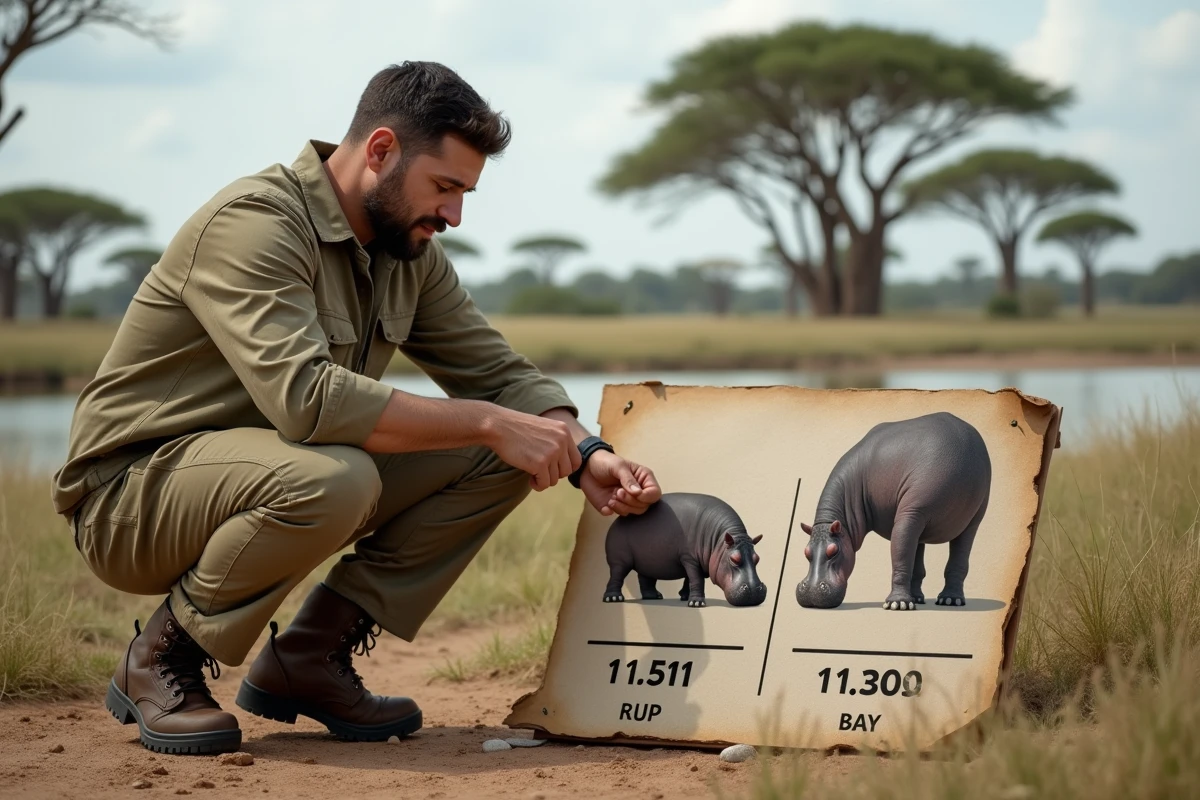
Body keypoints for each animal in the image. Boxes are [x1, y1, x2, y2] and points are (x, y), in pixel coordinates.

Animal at [603, 492, 768, 608]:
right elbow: (696, 579)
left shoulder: (696, 560)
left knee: (645, 578)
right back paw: (613, 598)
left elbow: (690, 579)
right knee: (616, 575)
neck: (720, 541)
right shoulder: (690, 559)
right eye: (733, 559)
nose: (755, 591)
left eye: (758, 558)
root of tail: (616, 521)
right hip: (620, 561)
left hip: (647, 561)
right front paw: (696, 604)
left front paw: (684, 596)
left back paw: (654, 596)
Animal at [795, 412, 992, 611]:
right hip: (919, 521)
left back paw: (950, 600)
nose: (810, 591)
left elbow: (900, 557)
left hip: (970, 518)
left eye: (833, 551)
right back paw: (917, 598)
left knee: (959, 556)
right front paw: (908, 601)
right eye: (806, 552)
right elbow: (910, 559)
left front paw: (897, 604)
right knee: (917, 557)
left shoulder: (910, 514)